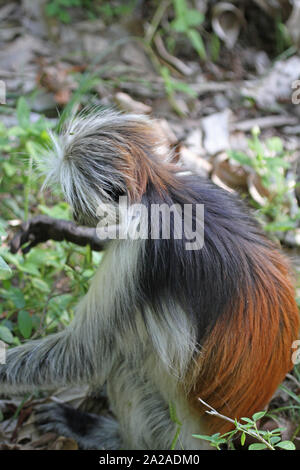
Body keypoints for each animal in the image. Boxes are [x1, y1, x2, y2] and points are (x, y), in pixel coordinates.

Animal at [0, 109, 300, 448]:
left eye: (75, 199)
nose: (75, 216)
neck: (162, 194)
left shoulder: (139, 250)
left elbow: (85, 355)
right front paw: (59, 229)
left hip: (173, 432)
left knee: (124, 369)